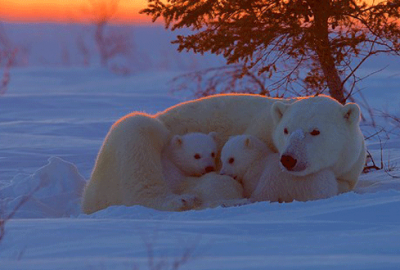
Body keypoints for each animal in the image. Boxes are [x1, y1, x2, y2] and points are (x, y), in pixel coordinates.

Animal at [81, 94, 366, 214]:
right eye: (286, 130)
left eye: (315, 131)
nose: (289, 158)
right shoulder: (261, 127)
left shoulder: (350, 168)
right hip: (127, 148)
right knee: (137, 136)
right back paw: (183, 200)